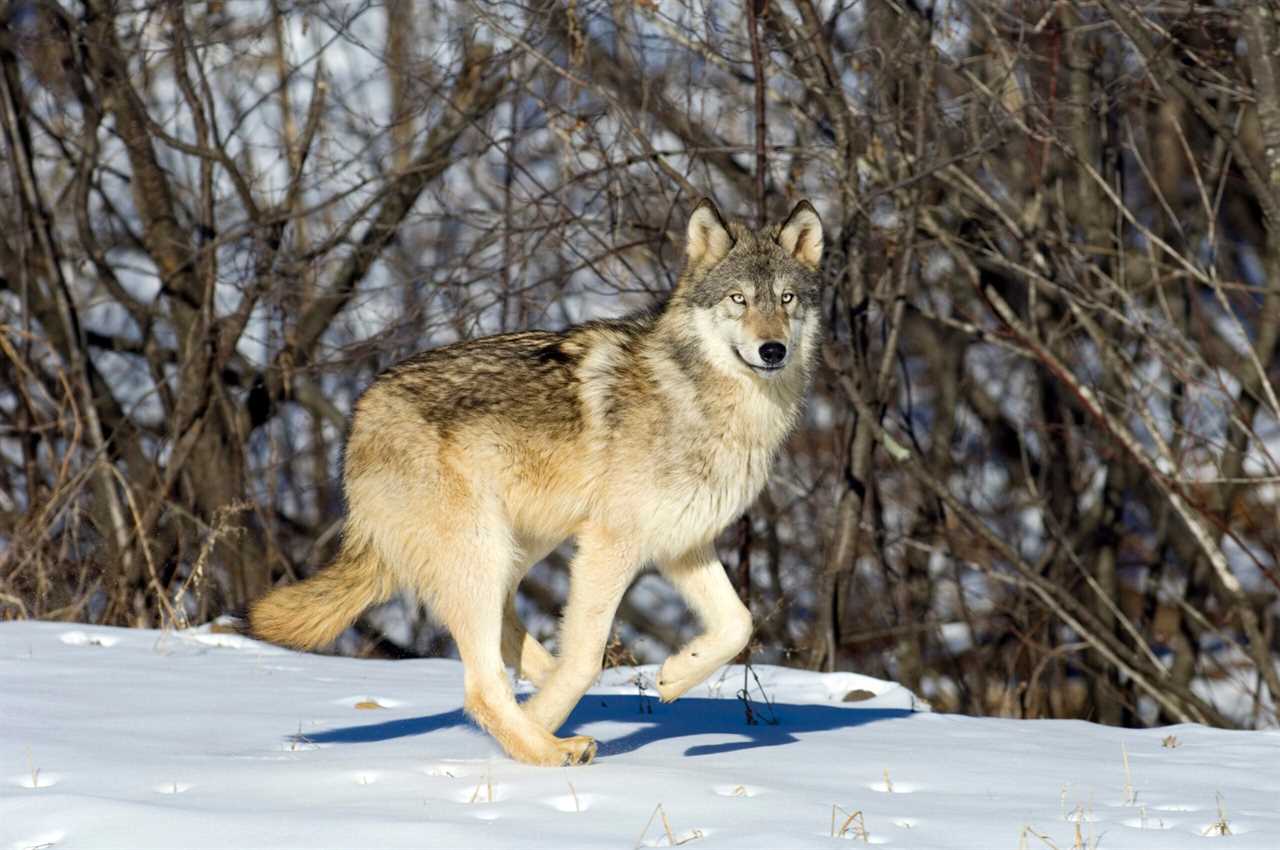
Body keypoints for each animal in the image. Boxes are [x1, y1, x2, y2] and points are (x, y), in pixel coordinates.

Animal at [248, 197, 824, 762]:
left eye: (787, 299)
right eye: (739, 299)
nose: (772, 350)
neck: (700, 399)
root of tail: (362, 413)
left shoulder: (682, 543)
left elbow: (739, 624)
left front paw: (675, 675)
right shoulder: (611, 544)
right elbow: (587, 656)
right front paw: (549, 721)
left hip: (516, 546)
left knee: (506, 632)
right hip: (482, 550)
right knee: (483, 686)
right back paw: (549, 747)